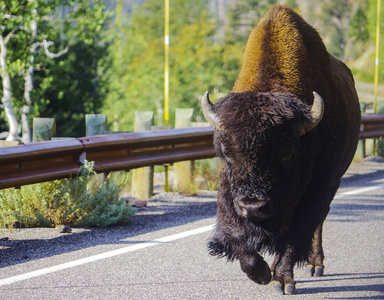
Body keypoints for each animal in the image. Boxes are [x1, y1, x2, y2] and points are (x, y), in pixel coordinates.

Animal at [202, 4, 362, 296]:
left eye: (287, 152)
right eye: (226, 152)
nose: (253, 205)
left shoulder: (314, 191)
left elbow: (294, 237)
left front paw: (281, 281)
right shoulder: (230, 199)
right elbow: (240, 241)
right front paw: (262, 274)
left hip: (333, 182)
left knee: (318, 222)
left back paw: (315, 265)